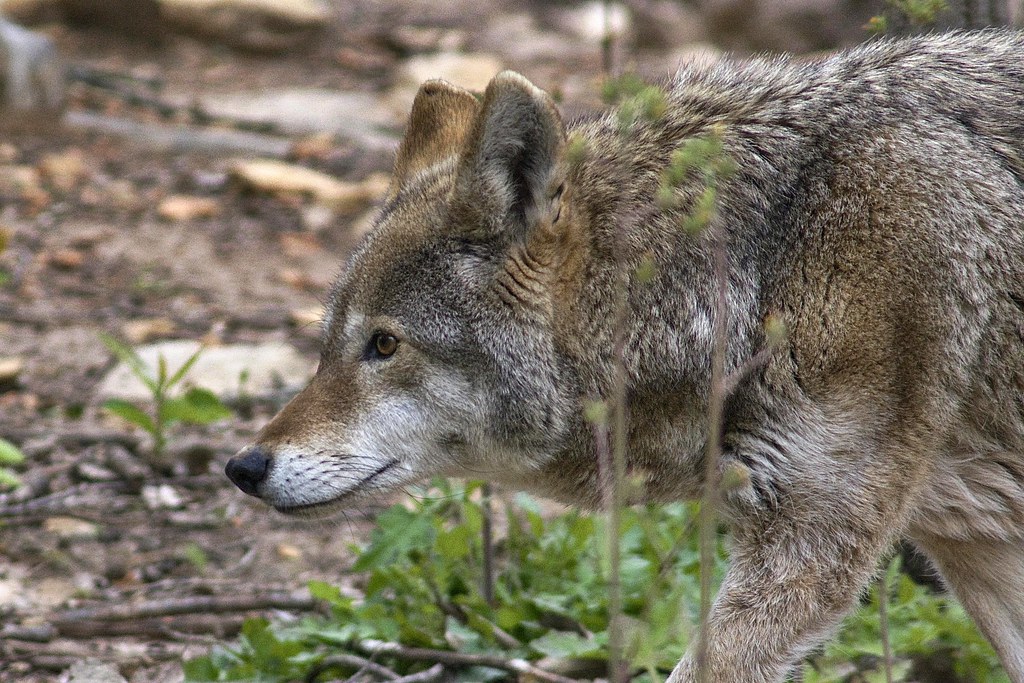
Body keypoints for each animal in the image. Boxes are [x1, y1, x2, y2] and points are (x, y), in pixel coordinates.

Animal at [226, 30, 1024, 682]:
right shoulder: (978, 554)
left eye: (384, 344)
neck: (757, 271)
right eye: (329, 346)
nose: (243, 467)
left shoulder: (811, 545)